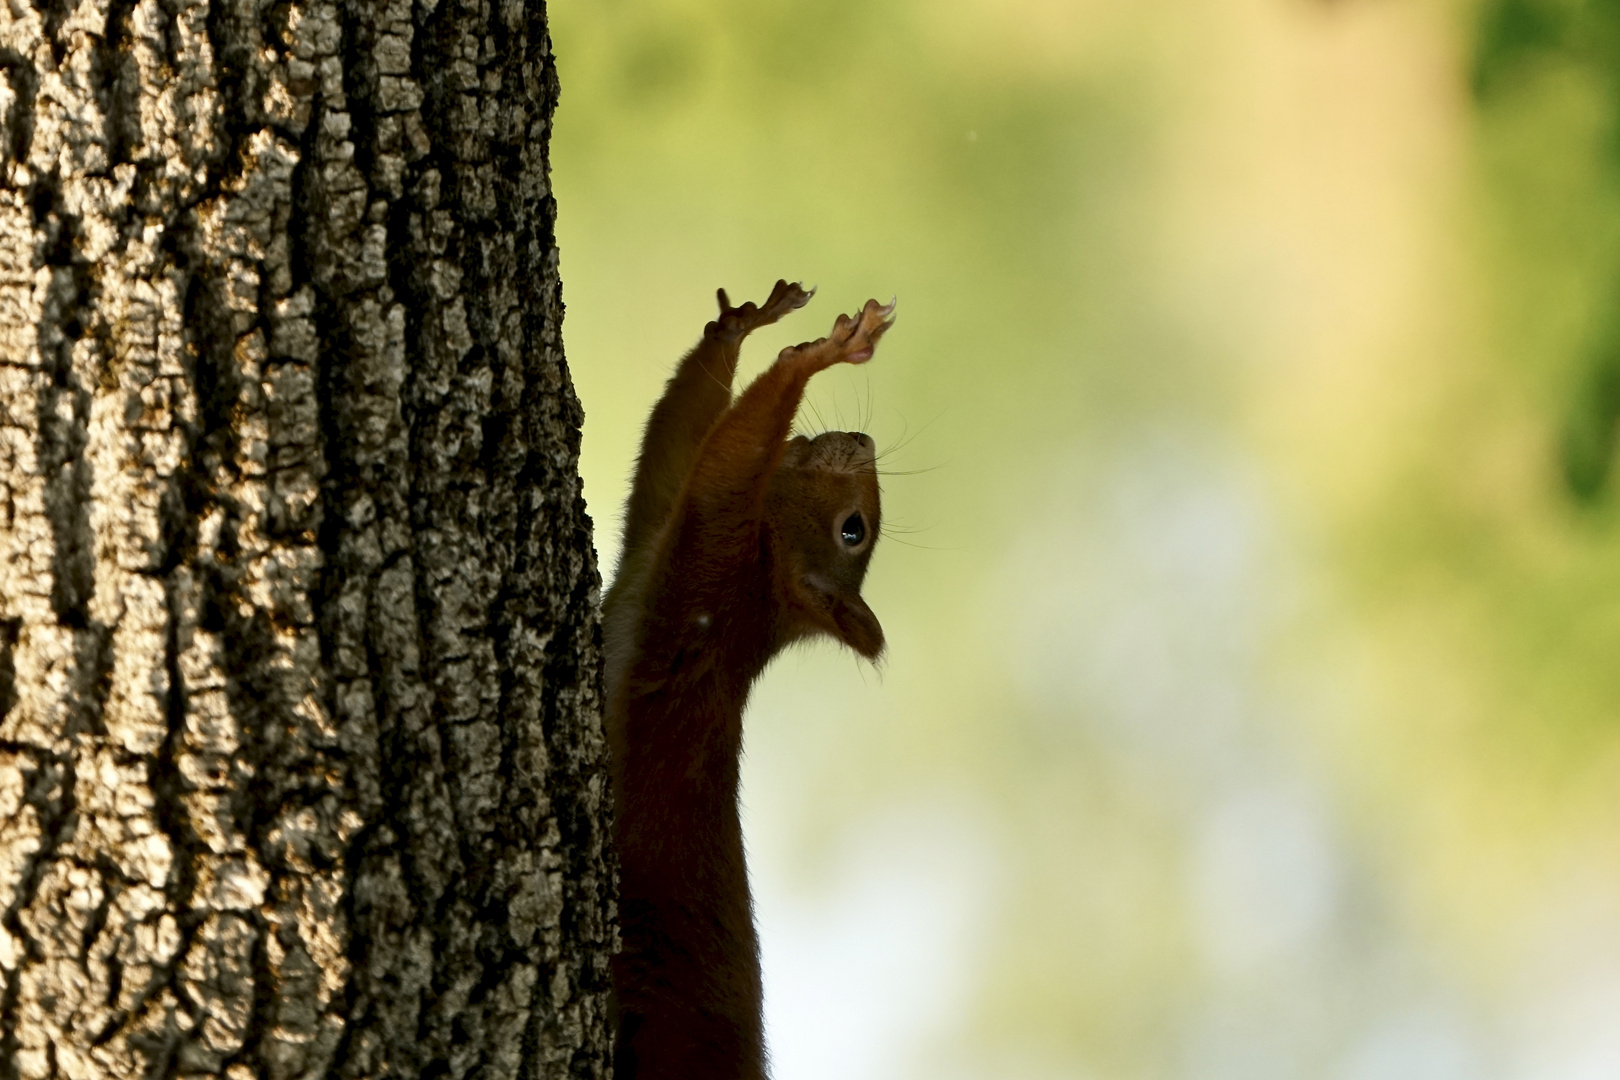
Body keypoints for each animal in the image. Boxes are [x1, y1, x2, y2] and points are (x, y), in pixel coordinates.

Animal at [602, 281, 894, 1080]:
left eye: (853, 530)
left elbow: (722, 464)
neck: (765, 581)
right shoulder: (653, 543)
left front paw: (820, 356)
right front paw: (745, 324)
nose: (865, 443)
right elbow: (673, 450)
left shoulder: (706, 579)